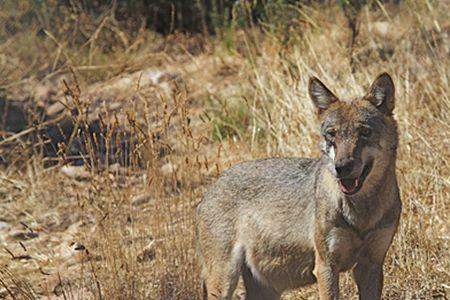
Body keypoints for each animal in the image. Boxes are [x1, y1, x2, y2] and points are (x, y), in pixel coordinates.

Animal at [196, 73, 400, 300]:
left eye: (364, 132)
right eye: (332, 134)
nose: (341, 167)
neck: (362, 212)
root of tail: (210, 190)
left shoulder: (371, 265)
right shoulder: (326, 266)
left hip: (266, 289)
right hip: (224, 282)